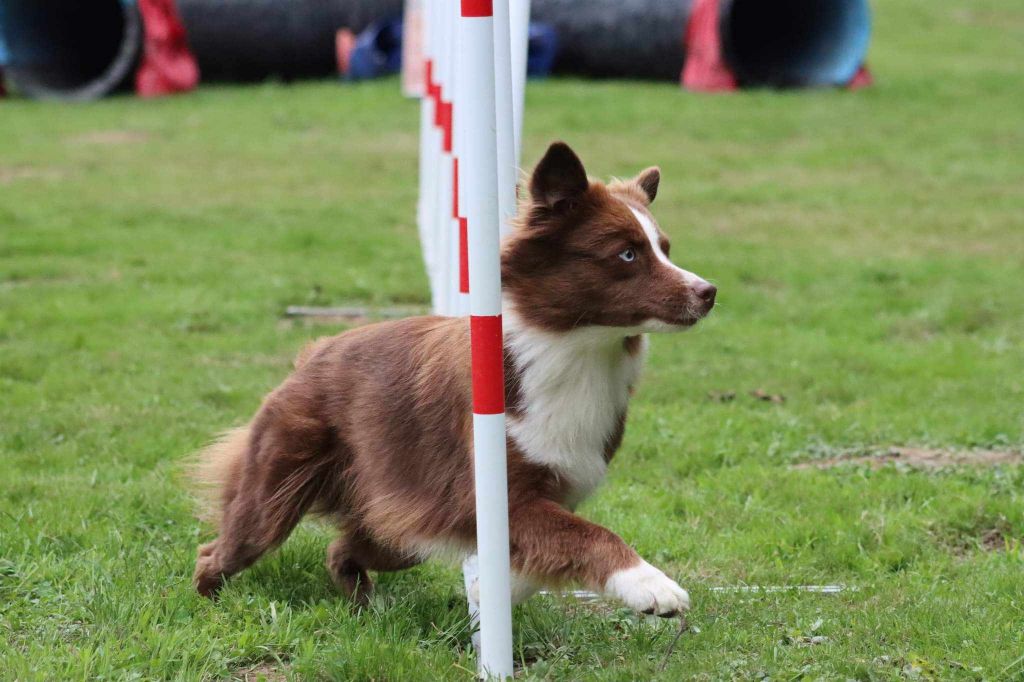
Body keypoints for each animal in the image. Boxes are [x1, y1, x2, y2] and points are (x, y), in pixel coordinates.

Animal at [195, 140, 716, 614]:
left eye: (665, 249)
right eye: (627, 254)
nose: (708, 292)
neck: (577, 350)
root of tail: (314, 352)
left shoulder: (532, 497)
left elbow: (541, 552)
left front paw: (494, 591)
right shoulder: (489, 497)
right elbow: (590, 534)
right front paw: (651, 586)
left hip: (400, 524)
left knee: (341, 548)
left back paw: (366, 607)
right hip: (279, 490)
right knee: (222, 549)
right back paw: (211, 602)